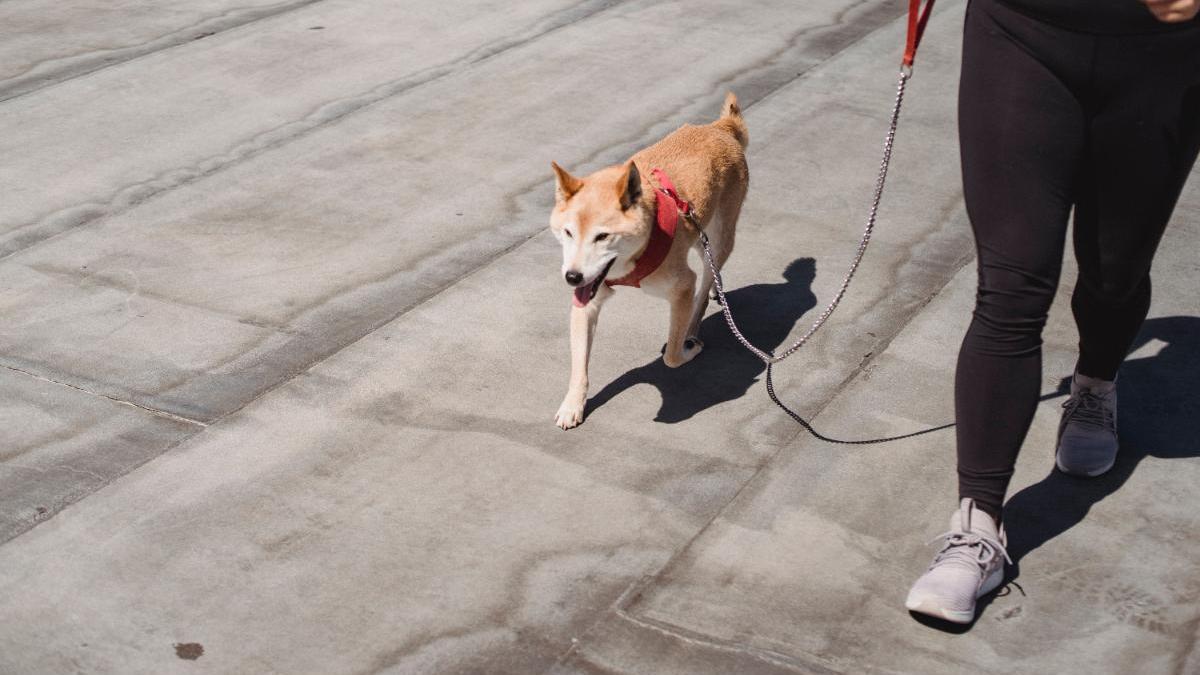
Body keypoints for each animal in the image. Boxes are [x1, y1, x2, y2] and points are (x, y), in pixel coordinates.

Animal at [549, 90, 744, 425]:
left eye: (603, 237)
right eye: (568, 233)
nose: (572, 277)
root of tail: (720, 127)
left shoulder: (682, 284)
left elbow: (671, 357)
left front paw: (686, 349)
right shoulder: (587, 300)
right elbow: (579, 366)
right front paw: (573, 404)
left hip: (718, 240)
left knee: (704, 286)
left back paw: (693, 326)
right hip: (700, 234)